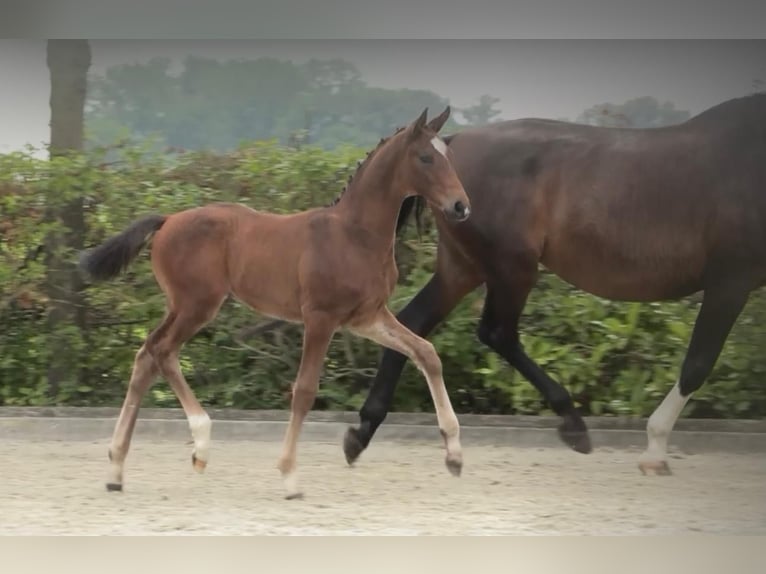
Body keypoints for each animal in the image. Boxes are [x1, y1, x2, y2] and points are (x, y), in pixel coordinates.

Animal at [81, 107, 472, 500]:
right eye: (425, 157)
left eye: (449, 156)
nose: (461, 206)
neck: (354, 235)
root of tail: (167, 220)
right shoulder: (320, 318)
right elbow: (305, 390)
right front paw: (290, 476)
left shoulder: (367, 317)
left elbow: (426, 354)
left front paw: (454, 456)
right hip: (196, 305)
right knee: (161, 351)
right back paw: (199, 444)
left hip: (182, 307)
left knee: (147, 355)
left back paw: (117, 470)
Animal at [346, 93, 766, 476]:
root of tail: (456, 140)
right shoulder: (730, 281)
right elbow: (698, 363)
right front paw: (654, 451)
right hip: (512, 267)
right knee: (497, 332)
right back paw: (574, 424)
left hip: (462, 268)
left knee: (413, 323)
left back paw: (362, 431)